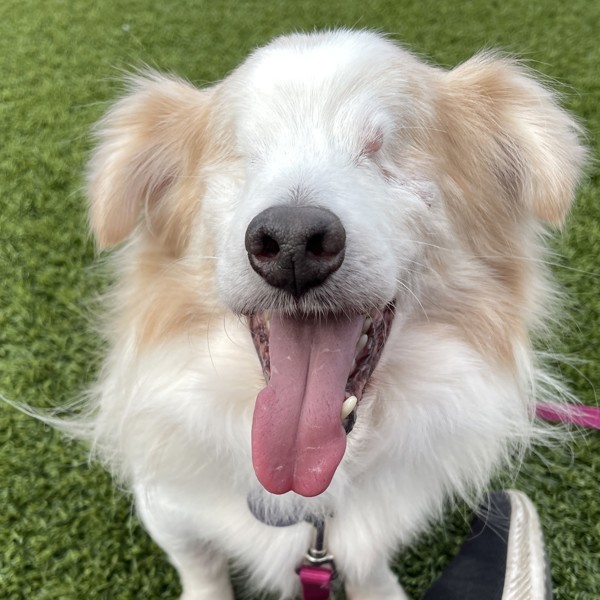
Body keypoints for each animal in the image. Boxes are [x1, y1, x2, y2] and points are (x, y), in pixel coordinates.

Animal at [77, 29, 584, 600]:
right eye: (245, 157)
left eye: (383, 150)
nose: (292, 242)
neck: (305, 494)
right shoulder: (167, 508)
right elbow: (201, 568)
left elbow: (369, 565)